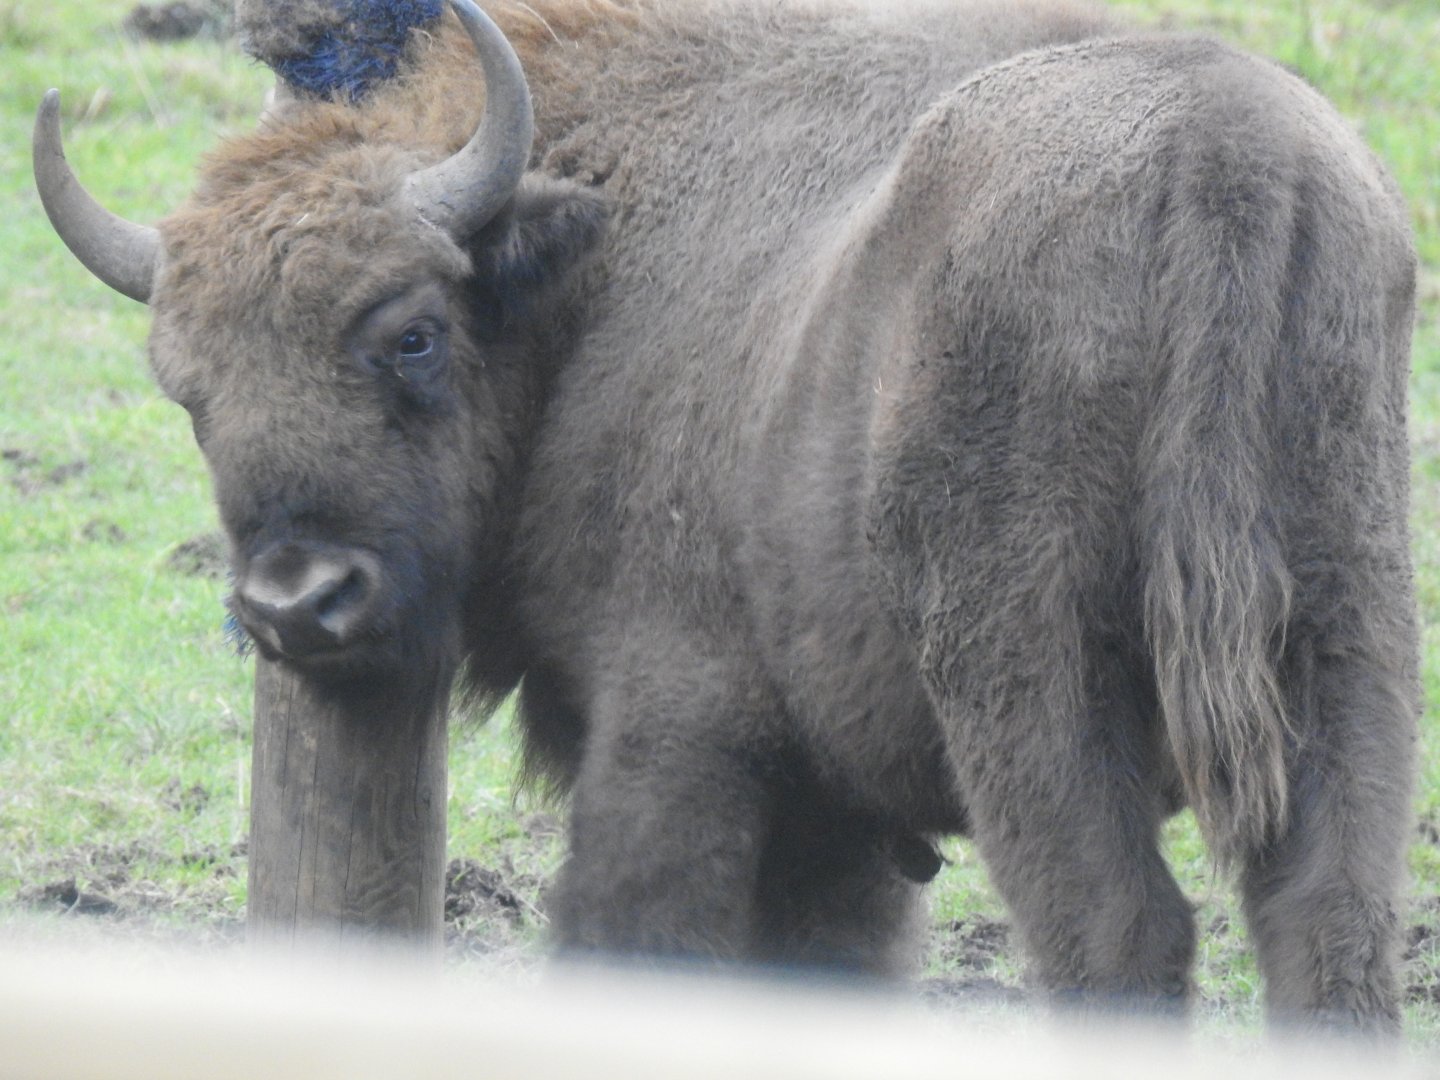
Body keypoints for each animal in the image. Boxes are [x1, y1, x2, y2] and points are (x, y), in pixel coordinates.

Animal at [35, 0, 1418, 1034]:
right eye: (187, 388)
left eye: (412, 334)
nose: (297, 602)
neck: (590, 266)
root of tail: (1225, 161)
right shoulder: (836, 815)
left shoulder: (680, 728)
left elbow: (628, 931)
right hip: (1349, 636)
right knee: (1327, 924)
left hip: (1034, 680)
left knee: (1116, 933)